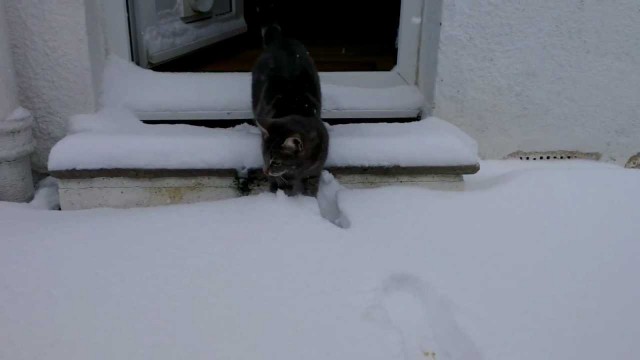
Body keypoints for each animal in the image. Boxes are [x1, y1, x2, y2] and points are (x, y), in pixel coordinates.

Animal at [251, 12, 330, 195]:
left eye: (276, 161)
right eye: (264, 156)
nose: (265, 170)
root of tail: (280, 40)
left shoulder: (314, 172)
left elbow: (311, 188)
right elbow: (281, 185)